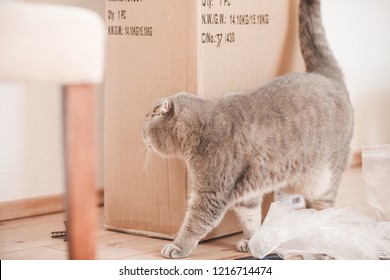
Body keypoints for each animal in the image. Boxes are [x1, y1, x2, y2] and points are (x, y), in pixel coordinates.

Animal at [142, 0, 354, 258]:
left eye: (147, 119)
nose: (140, 129)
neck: (204, 125)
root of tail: (327, 76)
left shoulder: (211, 192)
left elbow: (194, 223)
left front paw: (177, 246)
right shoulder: (247, 193)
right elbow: (251, 217)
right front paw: (252, 240)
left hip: (324, 180)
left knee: (325, 207)